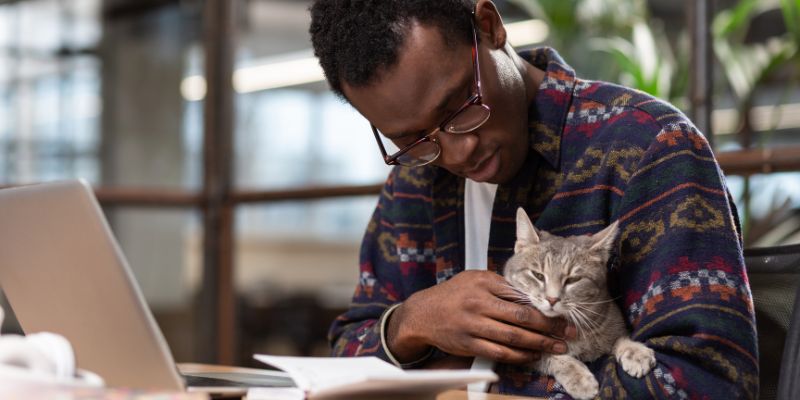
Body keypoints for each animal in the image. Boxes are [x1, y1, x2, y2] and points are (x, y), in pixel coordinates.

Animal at [506, 208, 656, 398]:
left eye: (573, 279)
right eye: (538, 275)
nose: (552, 299)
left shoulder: (612, 323)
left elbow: (620, 337)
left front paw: (635, 351)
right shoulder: (525, 353)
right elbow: (556, 357)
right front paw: (579, 378)